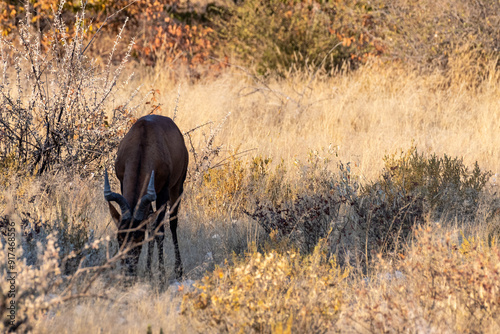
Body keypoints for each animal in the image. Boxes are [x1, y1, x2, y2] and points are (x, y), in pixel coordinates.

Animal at [103, 115, 188, 280]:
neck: (143, 141)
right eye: (120, 238)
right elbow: (150, 226)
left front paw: (161, 276)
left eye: (139, 238)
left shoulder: (162, 193)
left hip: (177, 186)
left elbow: (159, 232)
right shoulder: (123, 184)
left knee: (172, 222)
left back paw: (178, 270)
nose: (128, 273)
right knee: (151, 223)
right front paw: (149, 272)